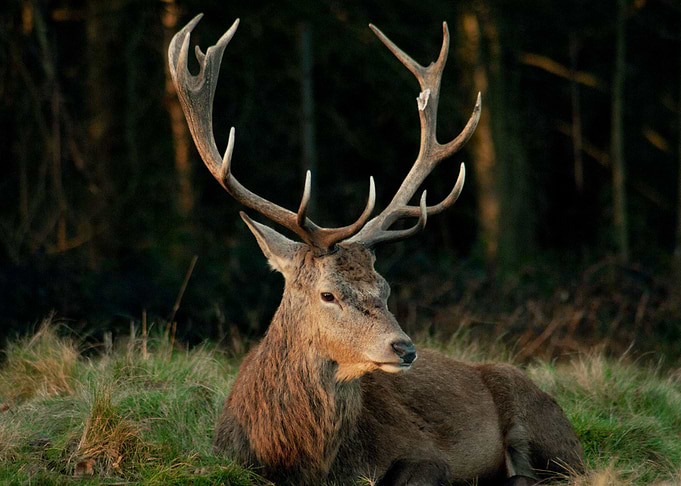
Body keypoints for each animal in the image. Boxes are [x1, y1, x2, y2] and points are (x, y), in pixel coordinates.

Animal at [168, 14, 584, 486]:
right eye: (328, 294)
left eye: (385, 289)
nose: (405, 349)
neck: (302, 459)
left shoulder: (428, 457)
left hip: (544, 425)